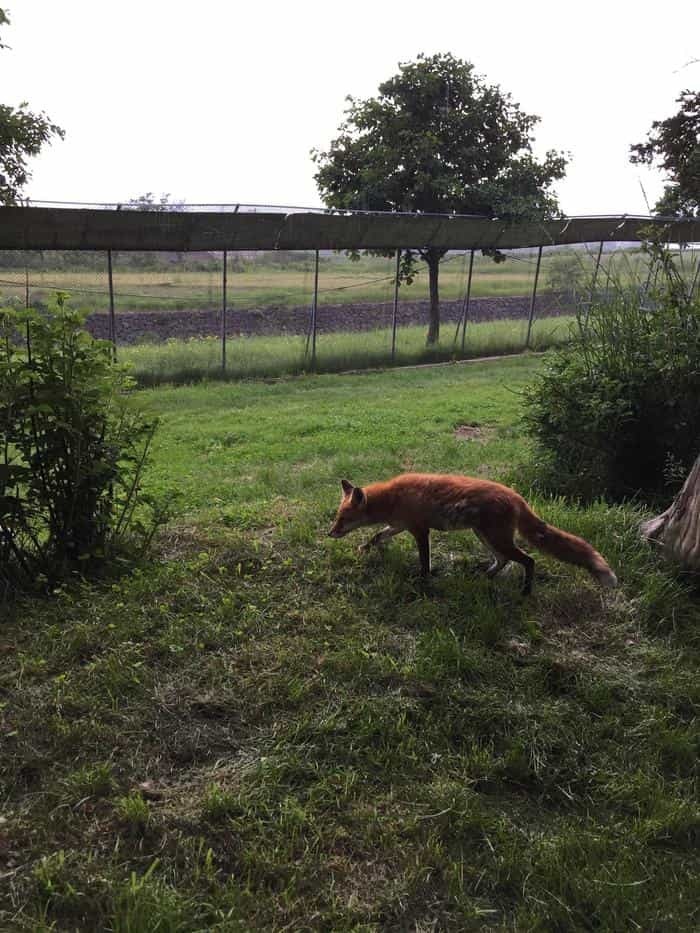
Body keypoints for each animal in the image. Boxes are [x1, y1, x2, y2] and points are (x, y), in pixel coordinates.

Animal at [330, 474, 616, 596]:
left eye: (343, 519)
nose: (330, 532)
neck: (393, 498)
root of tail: (516, 496)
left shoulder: (420, 530)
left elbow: (424, 562)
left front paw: (423, 581)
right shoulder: (400, 526)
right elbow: (377, 536)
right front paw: (364, 549)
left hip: (496, 538)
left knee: (528, 560)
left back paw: (525, 591)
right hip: (485, 536)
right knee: (504, 561)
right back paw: (483, 578)